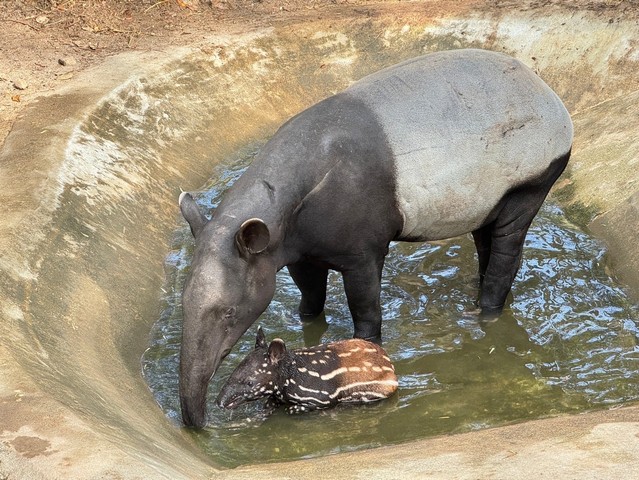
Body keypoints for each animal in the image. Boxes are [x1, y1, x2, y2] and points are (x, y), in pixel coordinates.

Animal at [218, 328, 398, 414]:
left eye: (249, 382)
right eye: (233, 373)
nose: (219, 403)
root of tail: (390, 364)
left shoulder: (321, 398)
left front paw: (292, 408)